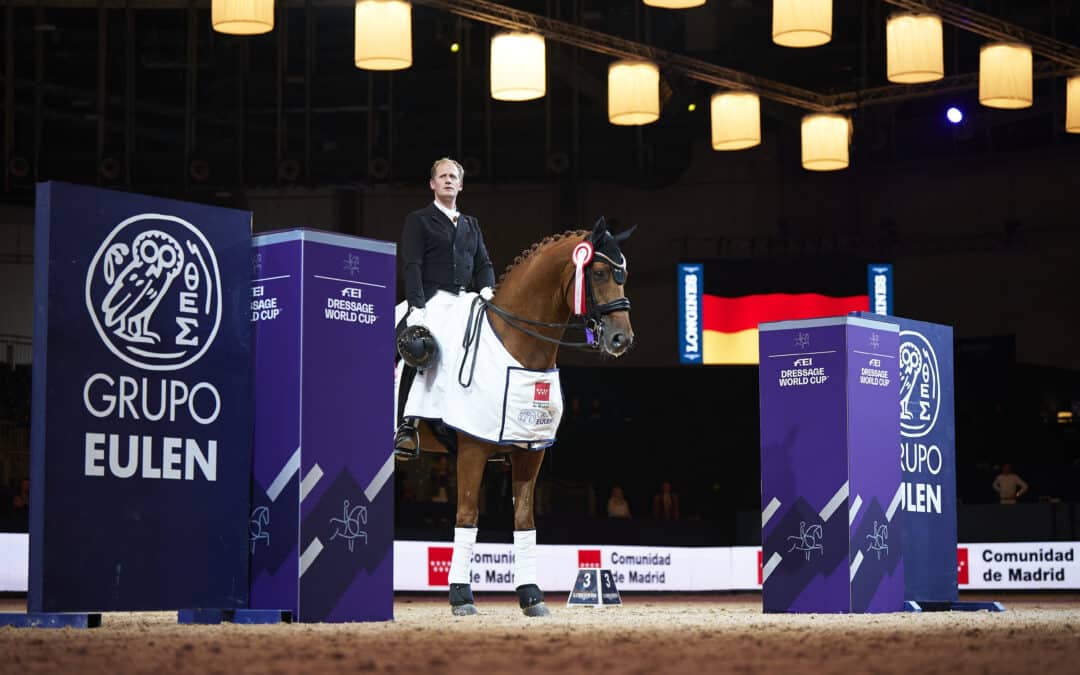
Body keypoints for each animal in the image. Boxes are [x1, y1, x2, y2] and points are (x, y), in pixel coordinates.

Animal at [412, 217, 630, 617]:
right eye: (600, 272)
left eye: (624, 274)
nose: (622, 339)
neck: (515, 348)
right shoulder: (472, 449)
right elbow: (467, 516)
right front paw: (460, 596)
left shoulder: (531, 450)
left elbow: (525, 521)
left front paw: (531, 595)